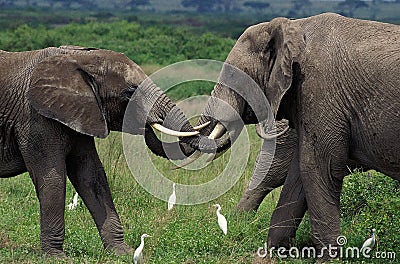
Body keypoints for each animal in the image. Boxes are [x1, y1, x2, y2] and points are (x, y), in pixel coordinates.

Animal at [0, 44, 219, 256]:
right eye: (130, 92)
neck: (76, 58)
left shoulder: (83, 113)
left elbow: (91, 175)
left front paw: (122, 252)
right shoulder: (34, 119)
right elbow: (53, 178)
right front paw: (56, 257)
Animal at [191, 12, 400, 258]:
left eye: (234, 76)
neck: (296, 25)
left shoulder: (319, 90)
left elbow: (318, 167)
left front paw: (327, 260)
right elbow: (299, 171)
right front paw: (272, 255)